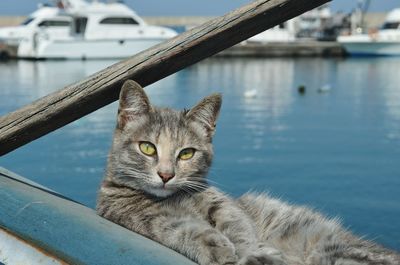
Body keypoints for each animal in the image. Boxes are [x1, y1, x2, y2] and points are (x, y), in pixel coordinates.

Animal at [97, 80, 400, 264]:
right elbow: (185, 230)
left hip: (333, 251)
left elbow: (239, 228)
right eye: (148, 148)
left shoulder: (224, 205)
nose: (165, 175)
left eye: (186, 153)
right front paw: (221, 249)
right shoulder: (141, 219)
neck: (171, 198)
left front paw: (249, 251)